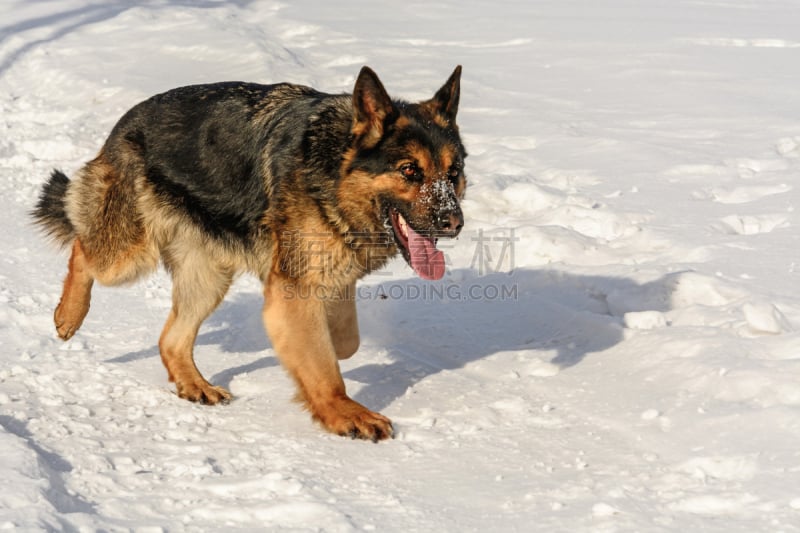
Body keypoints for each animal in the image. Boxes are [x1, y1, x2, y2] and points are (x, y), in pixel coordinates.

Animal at [32, 66, 468, 440]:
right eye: (409, 170)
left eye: (453, 173)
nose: (454, 222)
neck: (333, 174)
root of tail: (125, 122)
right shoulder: (294, 291)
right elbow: (325, 366)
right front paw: (343, 412)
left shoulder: (325, 277)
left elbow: (345, 341)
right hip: (129, 253)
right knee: (83, 248)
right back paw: (68, 315)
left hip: (208, 278)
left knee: (171, 339)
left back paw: (194, 384)